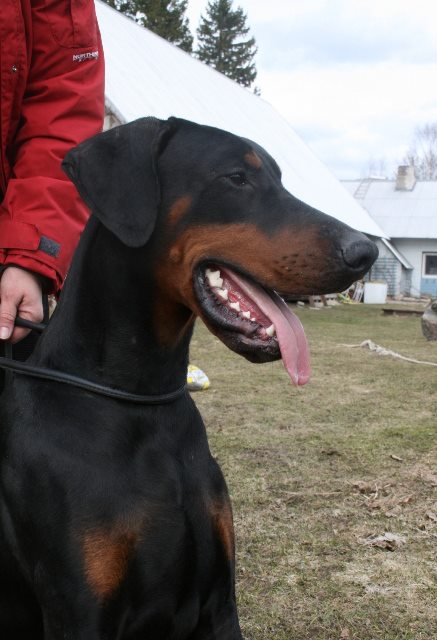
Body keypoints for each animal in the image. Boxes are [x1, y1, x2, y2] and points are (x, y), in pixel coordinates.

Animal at [0, 117, 378, 638]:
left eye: (280, 179)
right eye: (236, 177)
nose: (366, 252)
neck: (141, 400)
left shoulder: (219, 602)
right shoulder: (80, 613)